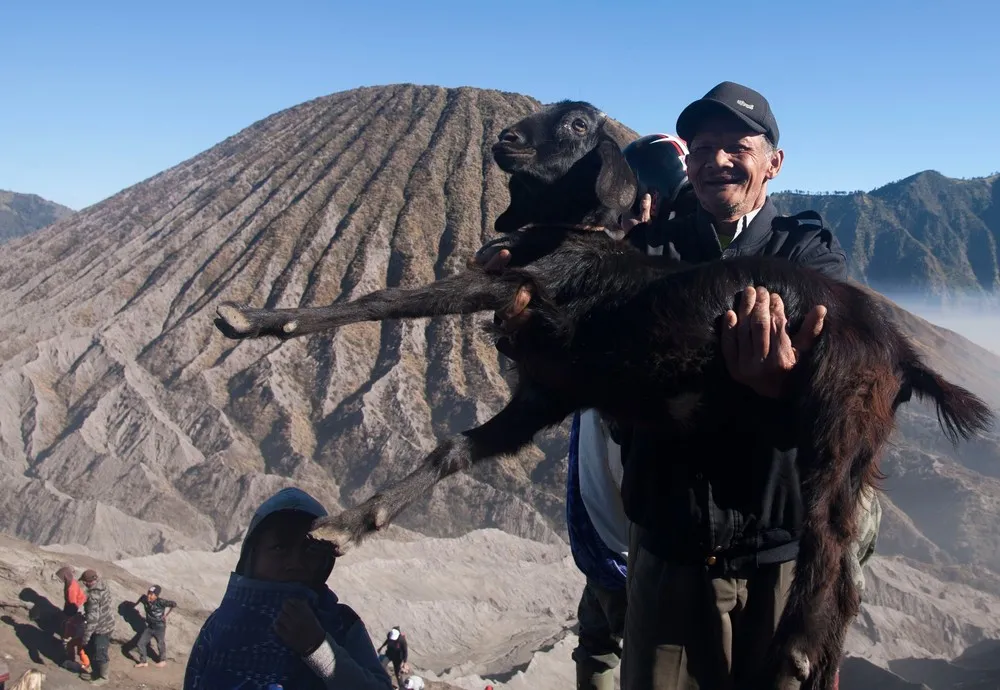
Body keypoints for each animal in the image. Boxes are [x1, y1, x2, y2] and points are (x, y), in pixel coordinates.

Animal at [213, 102, 992, 688]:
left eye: (581, 122)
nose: (505, 140)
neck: (578, 234)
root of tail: (898, 345)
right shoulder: (545, 395)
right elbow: (452, 449)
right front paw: (349, 524)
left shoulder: (515, 286)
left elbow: (388, 300)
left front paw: (256, 318)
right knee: (849, 568)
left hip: (837, 413)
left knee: (827, 534)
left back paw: (793, 653)